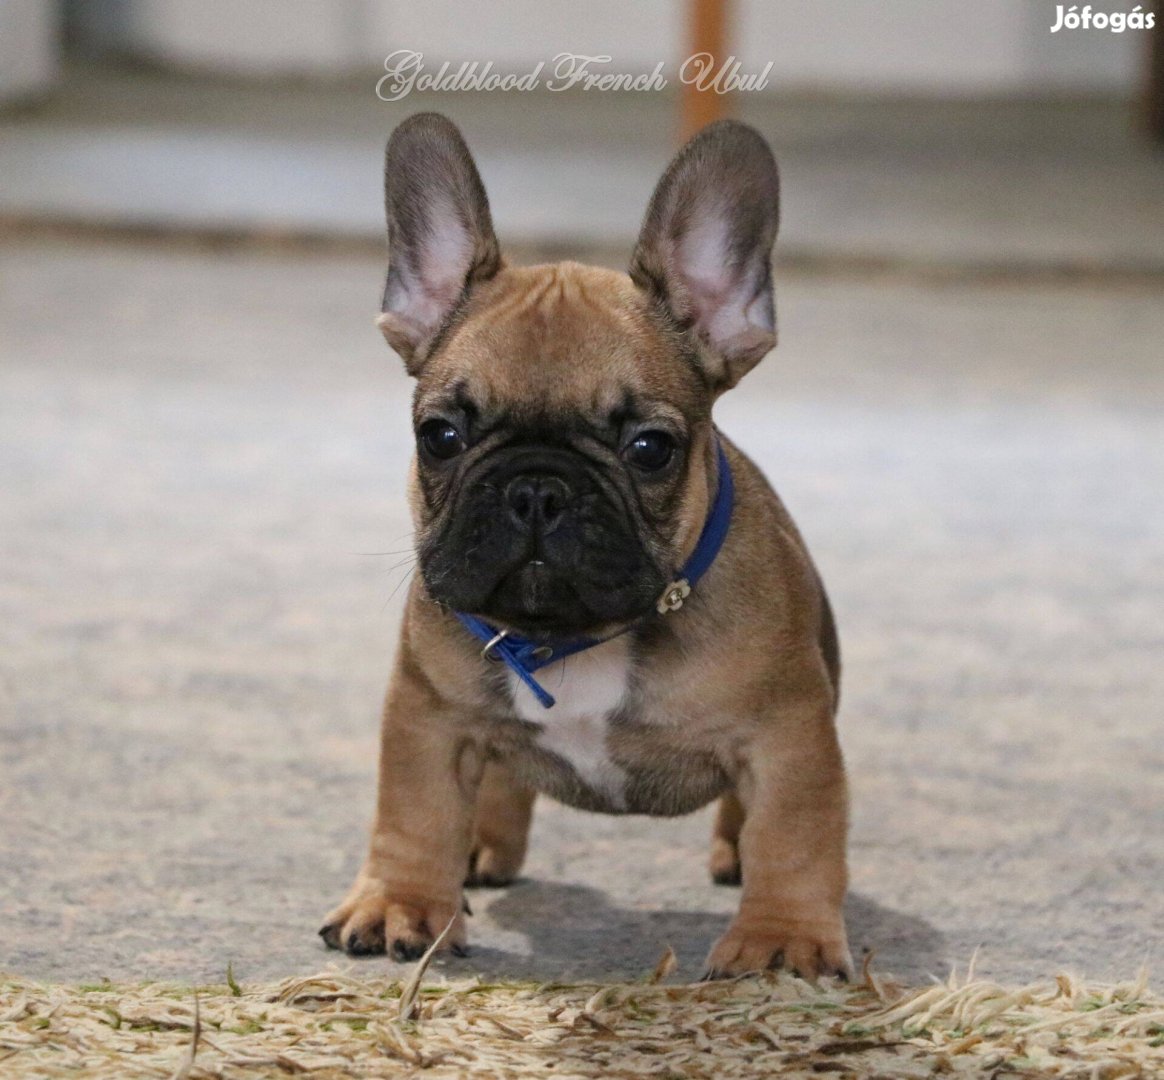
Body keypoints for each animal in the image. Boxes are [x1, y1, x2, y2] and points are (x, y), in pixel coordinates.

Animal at [323, 114, 852, 982]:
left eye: (650, 448)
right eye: (440, 436)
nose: (537, 488)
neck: (577, 637)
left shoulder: (788, 736)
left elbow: (794, 835)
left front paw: (782, 938)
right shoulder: (428, 716)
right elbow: (415, 811)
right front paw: (400, 901)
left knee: (748, 821)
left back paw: (732, 853)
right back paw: (482, 846)